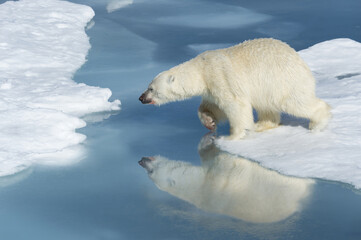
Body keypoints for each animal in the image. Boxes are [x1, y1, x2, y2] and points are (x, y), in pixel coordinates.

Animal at [139, 38, 330, 140]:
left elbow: (236, 104)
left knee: (295, 102)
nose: (141, 98)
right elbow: (211, 106)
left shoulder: (220, 76)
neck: (202, 69)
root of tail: (303, 64)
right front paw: (209, 121)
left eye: (151, 88)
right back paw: (260, 125)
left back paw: (318, 123)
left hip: (282, 81)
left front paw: (233, 136)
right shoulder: (210, 89)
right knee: (267, 106)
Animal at [139, 135, 314, 223]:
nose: (142, 161)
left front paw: (208, 139)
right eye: (151, 172)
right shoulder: (220, 181)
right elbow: (228, 164)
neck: (199, 186)